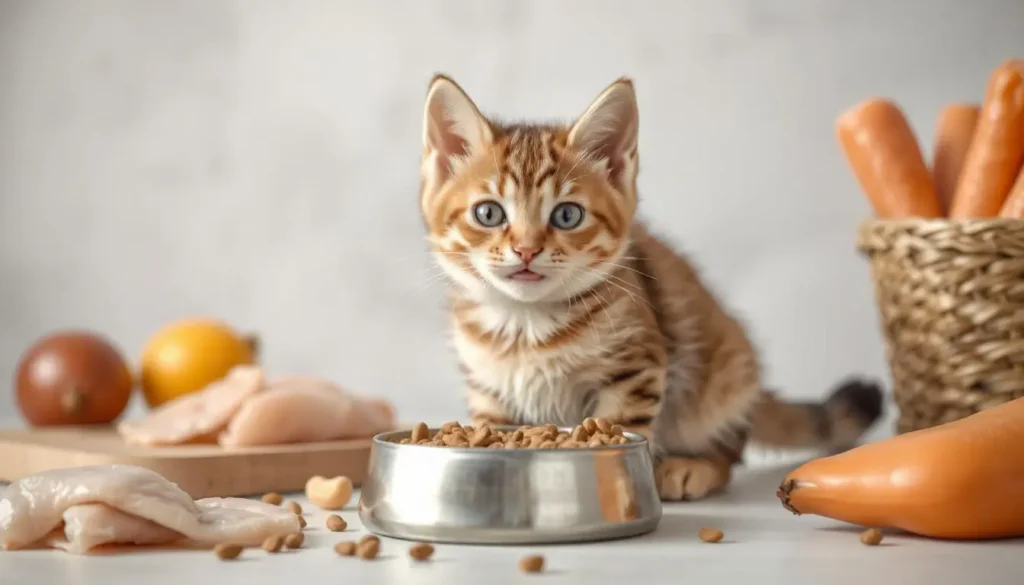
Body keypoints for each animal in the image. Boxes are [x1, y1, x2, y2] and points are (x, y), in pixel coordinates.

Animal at [415, 75, 880, 502]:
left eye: (567, 215)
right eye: (488, 213)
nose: (526, 249)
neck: (526, 324)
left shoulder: (637, 366)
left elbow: (618, 425)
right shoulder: (487, 389)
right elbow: (490, 426)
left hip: (723, 374)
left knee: (731, 451)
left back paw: (693, 468)